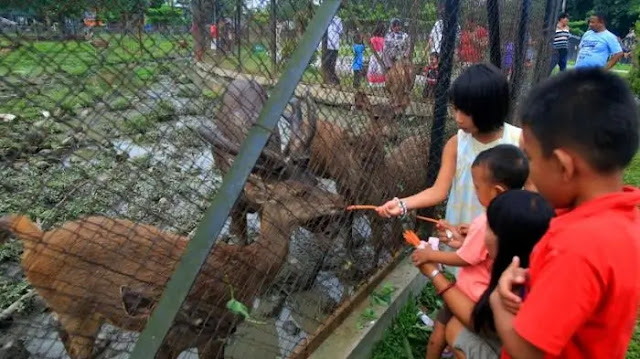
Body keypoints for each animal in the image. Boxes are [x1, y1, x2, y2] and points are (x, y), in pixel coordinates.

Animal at [0, 176, 344, 358]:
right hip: (75, 309)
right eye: (299, 192)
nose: (338, 200)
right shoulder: (199, 336)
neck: (245, 272)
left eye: (313, 179)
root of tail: (36, 243)